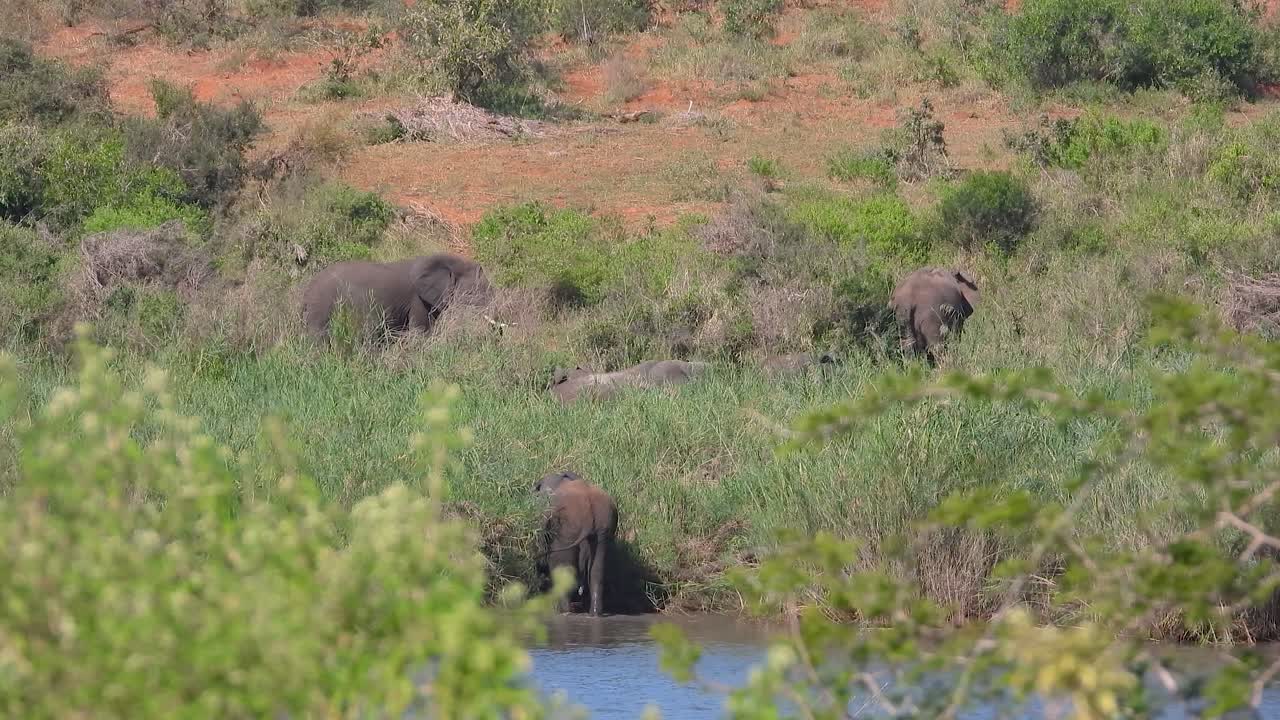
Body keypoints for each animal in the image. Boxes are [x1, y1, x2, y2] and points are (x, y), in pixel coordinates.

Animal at [534, 470, 618, 616]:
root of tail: (589, 511)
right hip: (604, 528)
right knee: (597, 571)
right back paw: (594, 614)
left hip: (566, 529)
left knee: (563, 569)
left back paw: (564, 611)